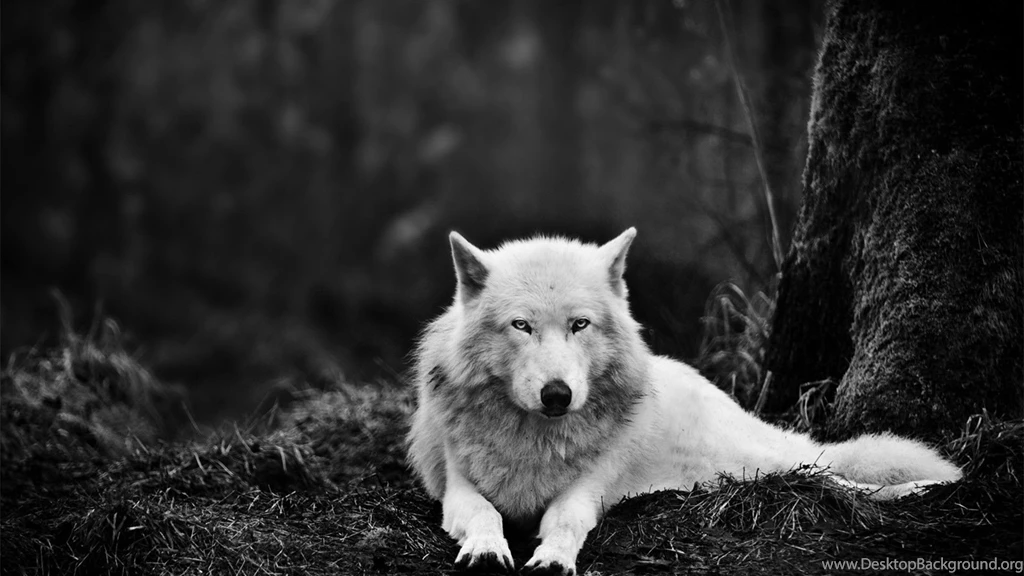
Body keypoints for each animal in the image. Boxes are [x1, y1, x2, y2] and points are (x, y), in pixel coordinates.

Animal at [407, 228, 962, 575]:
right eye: (521, 325)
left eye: (579, 324)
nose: (557, 394)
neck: (535, 440)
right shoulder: (457, 489)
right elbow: (485, 515)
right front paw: (486, 549)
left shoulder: (587, 491)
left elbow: (563, 521)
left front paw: (552, 559)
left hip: (759, 463)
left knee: (836, 475)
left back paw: (927, 486)